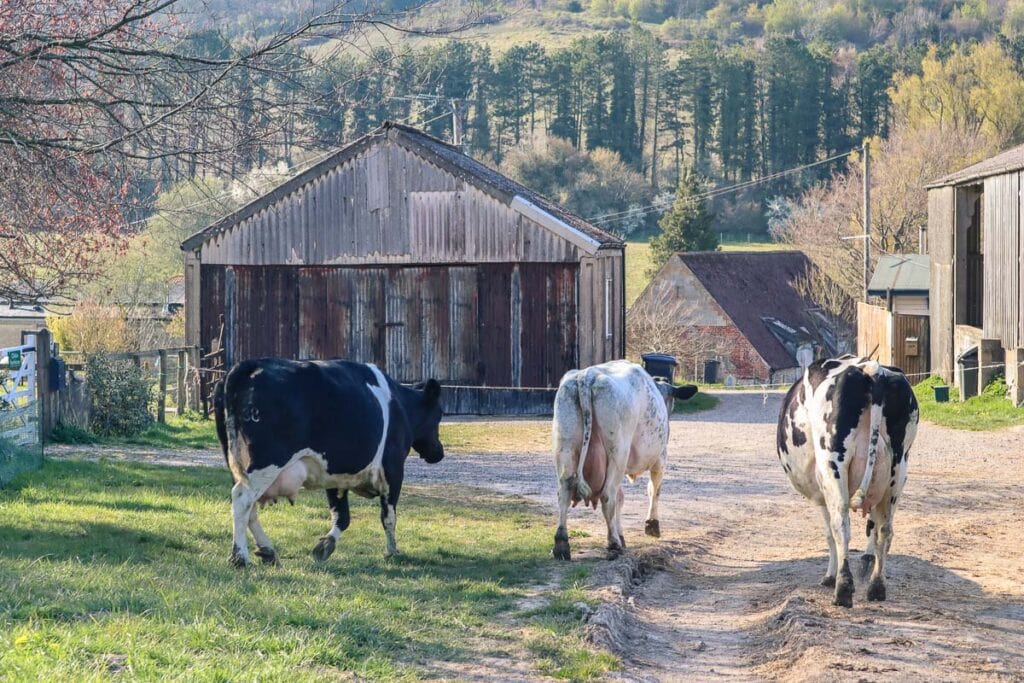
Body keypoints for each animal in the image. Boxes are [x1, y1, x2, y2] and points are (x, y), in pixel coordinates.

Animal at [214, 360, 442, 569]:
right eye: (438, 417)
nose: (438, 453)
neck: (400, 406)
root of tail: (251, 364)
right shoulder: (392, 470)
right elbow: (388, 516)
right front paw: (393, 551)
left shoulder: (336, 476)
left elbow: (342, 516)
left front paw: (325, 545)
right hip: (266, 463)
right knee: (242, 499)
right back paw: (240, 557)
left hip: (239, 465)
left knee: (249, 507)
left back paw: (268, 551)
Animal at [548, 360, 700, 557]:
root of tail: (587, 376)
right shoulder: (660, 458)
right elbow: (654, 489)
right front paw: (651, 525)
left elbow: (621, 498)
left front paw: (621, 534)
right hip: (617, 452)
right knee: (607, 496)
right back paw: (613, 543)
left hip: (565, 446)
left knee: (565, 492)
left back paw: (562, 544)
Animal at [774, 356, 921, 606]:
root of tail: (873, 369)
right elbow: (873, 528)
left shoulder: (821, 493)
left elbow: (829, 533)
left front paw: (829, 576)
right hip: (898, 470)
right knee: (885, 529)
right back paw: (876, 586)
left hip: (833, 464)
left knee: (841, 525)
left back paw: (842, 589)